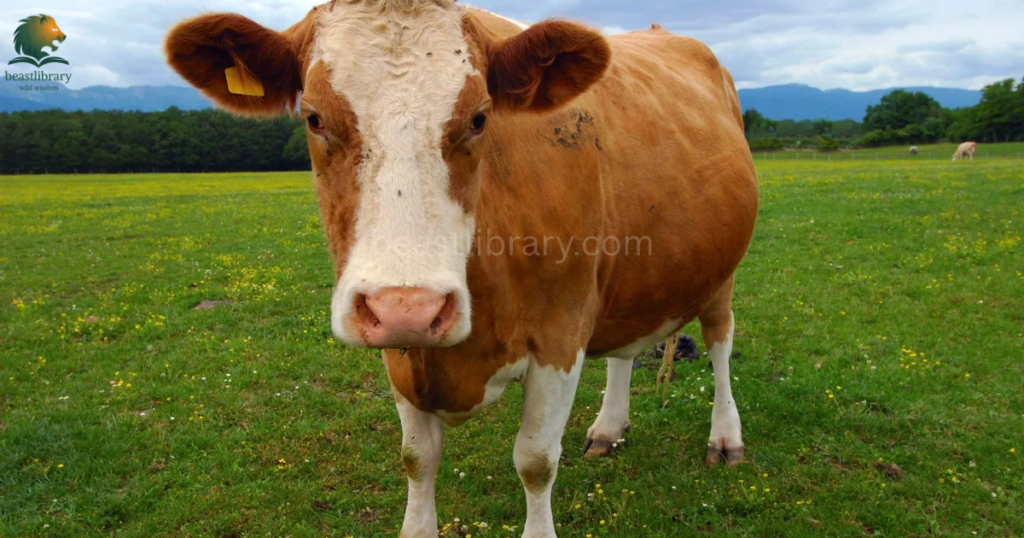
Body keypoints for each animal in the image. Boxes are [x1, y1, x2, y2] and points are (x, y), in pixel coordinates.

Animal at [165, 2, 758, 537]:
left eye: (479, 118)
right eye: (313, 117)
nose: (408, 309)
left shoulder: (561, 332)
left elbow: (535, 461)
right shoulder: (401, 355)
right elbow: (416, 458)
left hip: (722, 274)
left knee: (720, 343)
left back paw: (726, 438)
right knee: (625, 350)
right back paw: (609, 428)